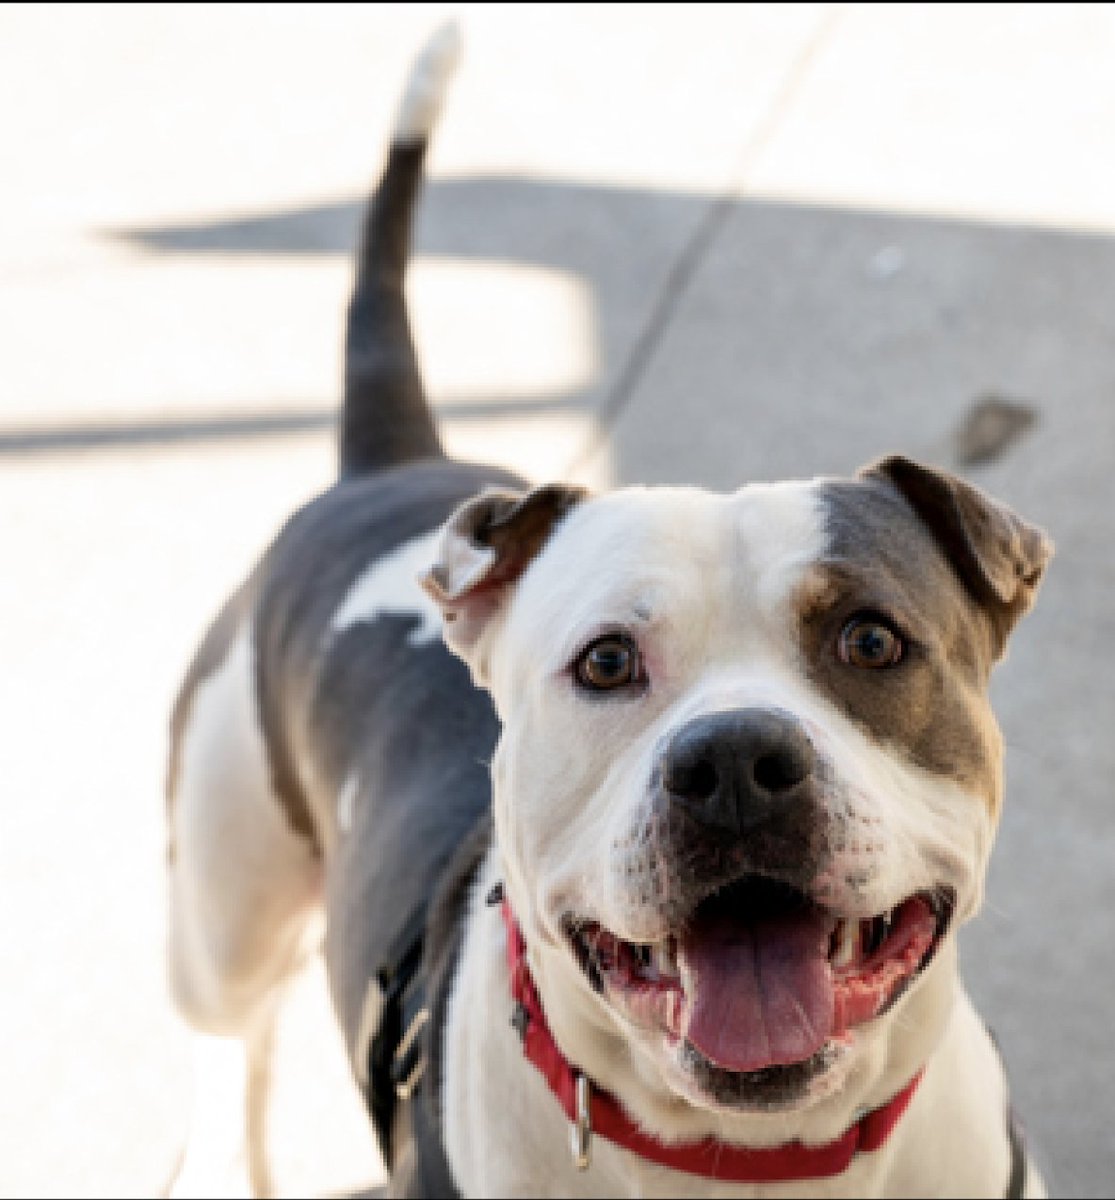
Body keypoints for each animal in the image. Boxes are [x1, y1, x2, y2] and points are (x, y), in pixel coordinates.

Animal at [165, 21, 1051, 1200]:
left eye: (870, 640)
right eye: (604, 663)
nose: (733, 764)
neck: (752, 1160)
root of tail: (387, 466)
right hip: (220, 920)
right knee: (238, 1028)